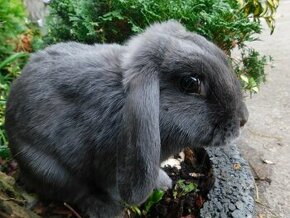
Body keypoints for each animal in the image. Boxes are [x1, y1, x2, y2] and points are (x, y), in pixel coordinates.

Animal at [4, 20, 248, 216]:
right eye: (190, 83)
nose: (243, 119)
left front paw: (164, 183)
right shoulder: (110, 168)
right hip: (49, 169)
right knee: (76, 191)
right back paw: (108, 210)